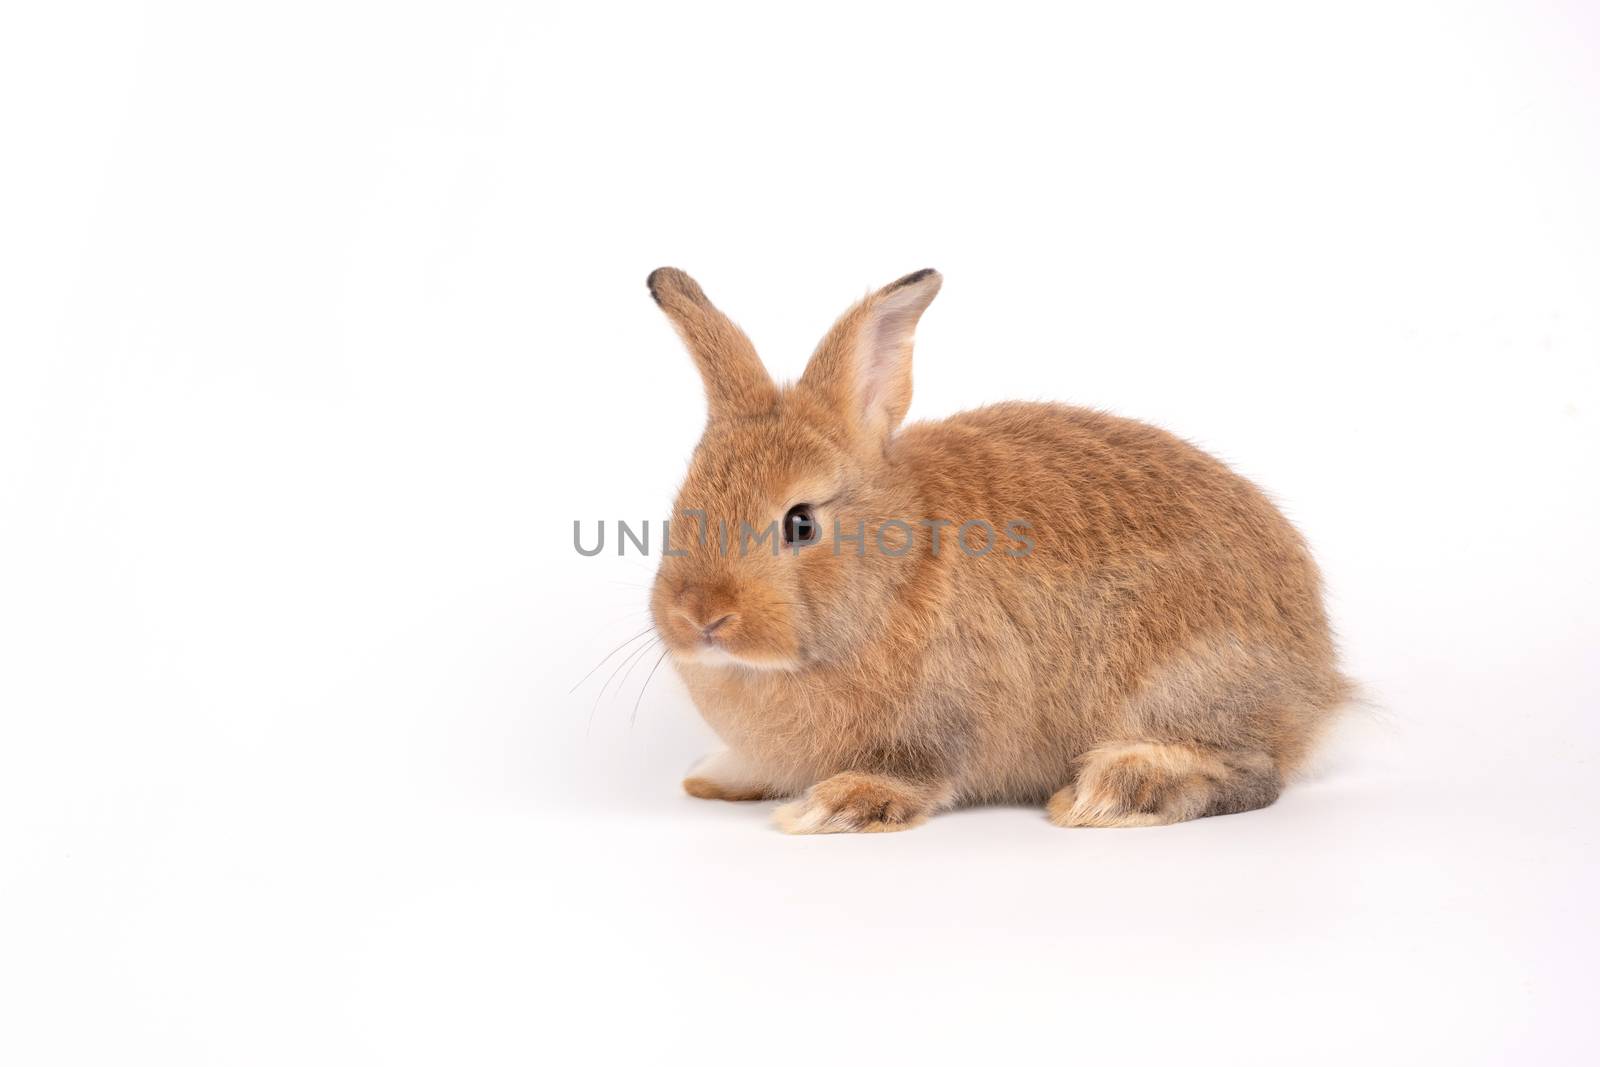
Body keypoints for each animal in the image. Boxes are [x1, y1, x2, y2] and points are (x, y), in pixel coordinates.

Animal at [643, 267, 1344, 831]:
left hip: (1188, 680)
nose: (700, 616)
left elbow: (912, 775)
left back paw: (1110, 792)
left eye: (801, 523)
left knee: (1252, 773)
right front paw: (717, 774)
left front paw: (833, 807)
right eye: (682, 506)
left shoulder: (940, 722)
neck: (894, 576)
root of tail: (1320, 678)